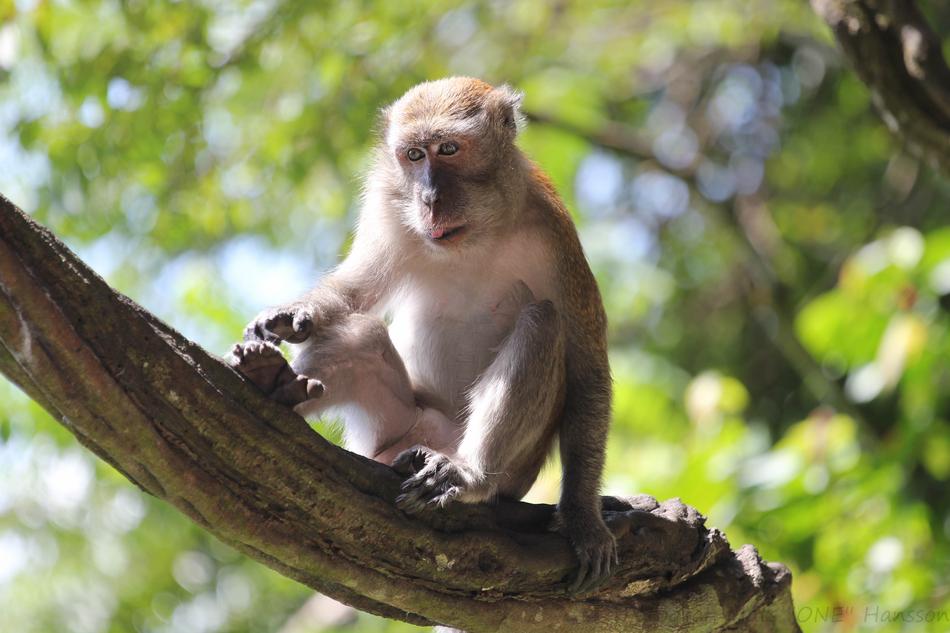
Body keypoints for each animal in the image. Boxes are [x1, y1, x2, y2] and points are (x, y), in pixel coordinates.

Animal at [229, 77, 618, 596]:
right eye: (414, 155)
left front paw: (582, 520)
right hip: (397, 430)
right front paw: (291, 317)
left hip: (513, 469)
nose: (429, 197)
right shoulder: (389, 207)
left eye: (448, 149)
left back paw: (469, 475)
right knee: (363, 334)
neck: (475, 234)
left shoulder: (556, 234)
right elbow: (357, 291)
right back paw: (276, 383)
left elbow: (588, 369)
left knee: (542, 323)